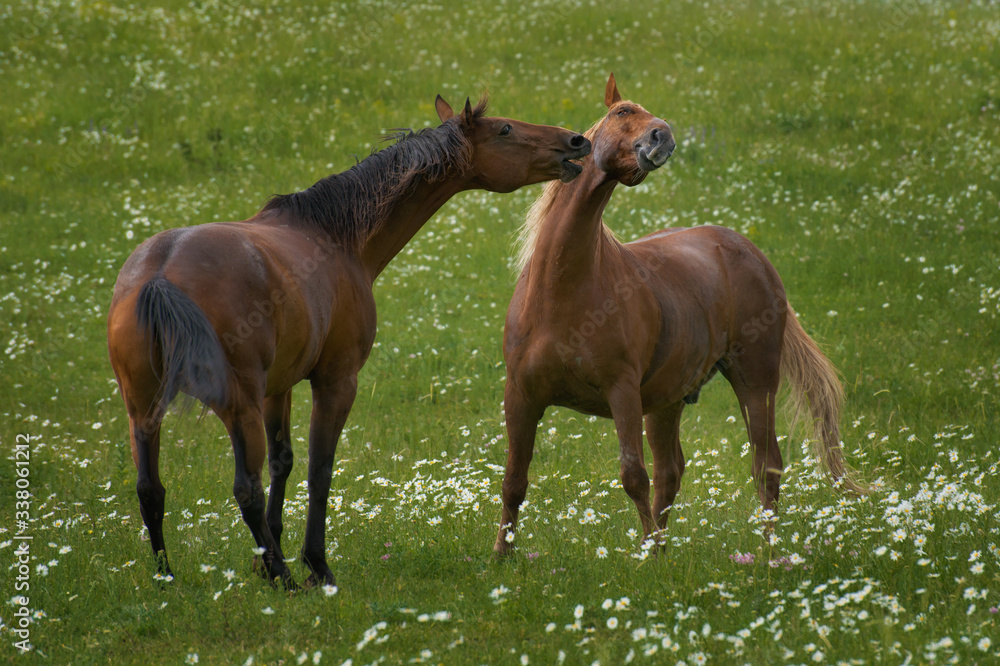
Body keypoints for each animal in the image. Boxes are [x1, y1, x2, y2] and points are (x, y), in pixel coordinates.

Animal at [107, 94, 591, 588]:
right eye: (505, 129)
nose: (577, 141)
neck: (336, 237)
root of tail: (162, 274)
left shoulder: (279, 388)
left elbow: (284, 460)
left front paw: (266, 559)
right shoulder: (336, 381)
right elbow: (319, 471)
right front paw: (314, 565)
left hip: (143, 409)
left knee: (150, 488)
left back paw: (169, 577)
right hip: (236, 406)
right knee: (245, 489)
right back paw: (286, 579)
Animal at [493, 73, 866, 559]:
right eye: (622, 112)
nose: (662, 136)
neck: (561, 291)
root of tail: (751, 252)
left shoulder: (622, 393)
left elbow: (633, 476)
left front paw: (644, 558)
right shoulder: (521, 397)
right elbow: (514, 481)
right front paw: (500, 557)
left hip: (754, 381)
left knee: (766, 465)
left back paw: (766, 553)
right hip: (666, 402)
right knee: (672, 472)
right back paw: (664, 550)